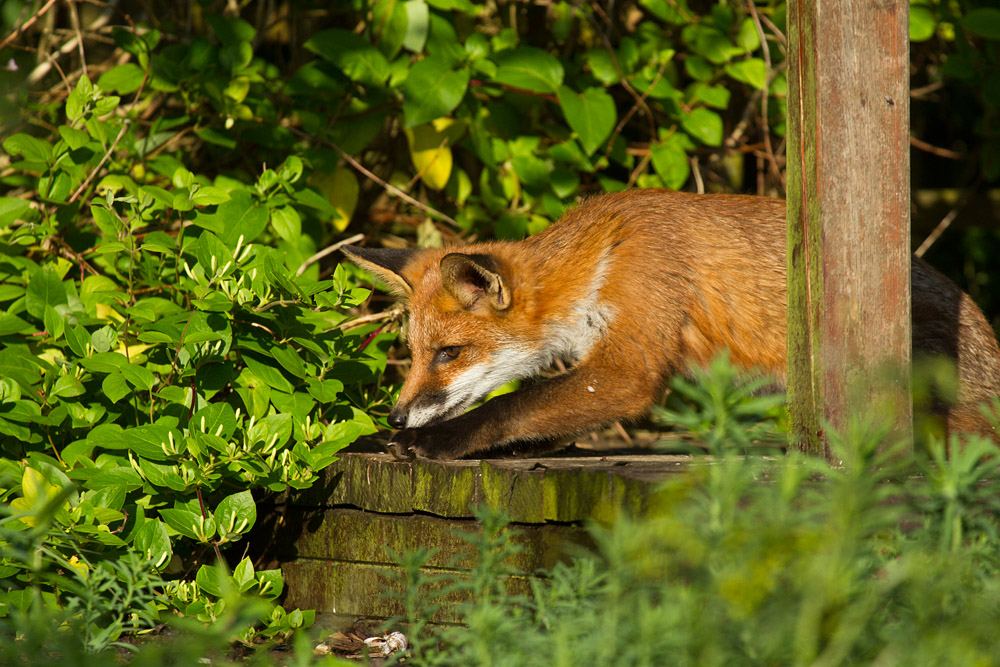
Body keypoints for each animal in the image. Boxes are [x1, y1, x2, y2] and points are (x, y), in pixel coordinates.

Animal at [342, 189, 1000, 460]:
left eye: (448, 354)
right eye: (415, 354)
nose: (395, 416)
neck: (599, 259)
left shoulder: (632, 359)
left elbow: (512, 406)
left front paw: (436, 442)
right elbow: (541, 418)